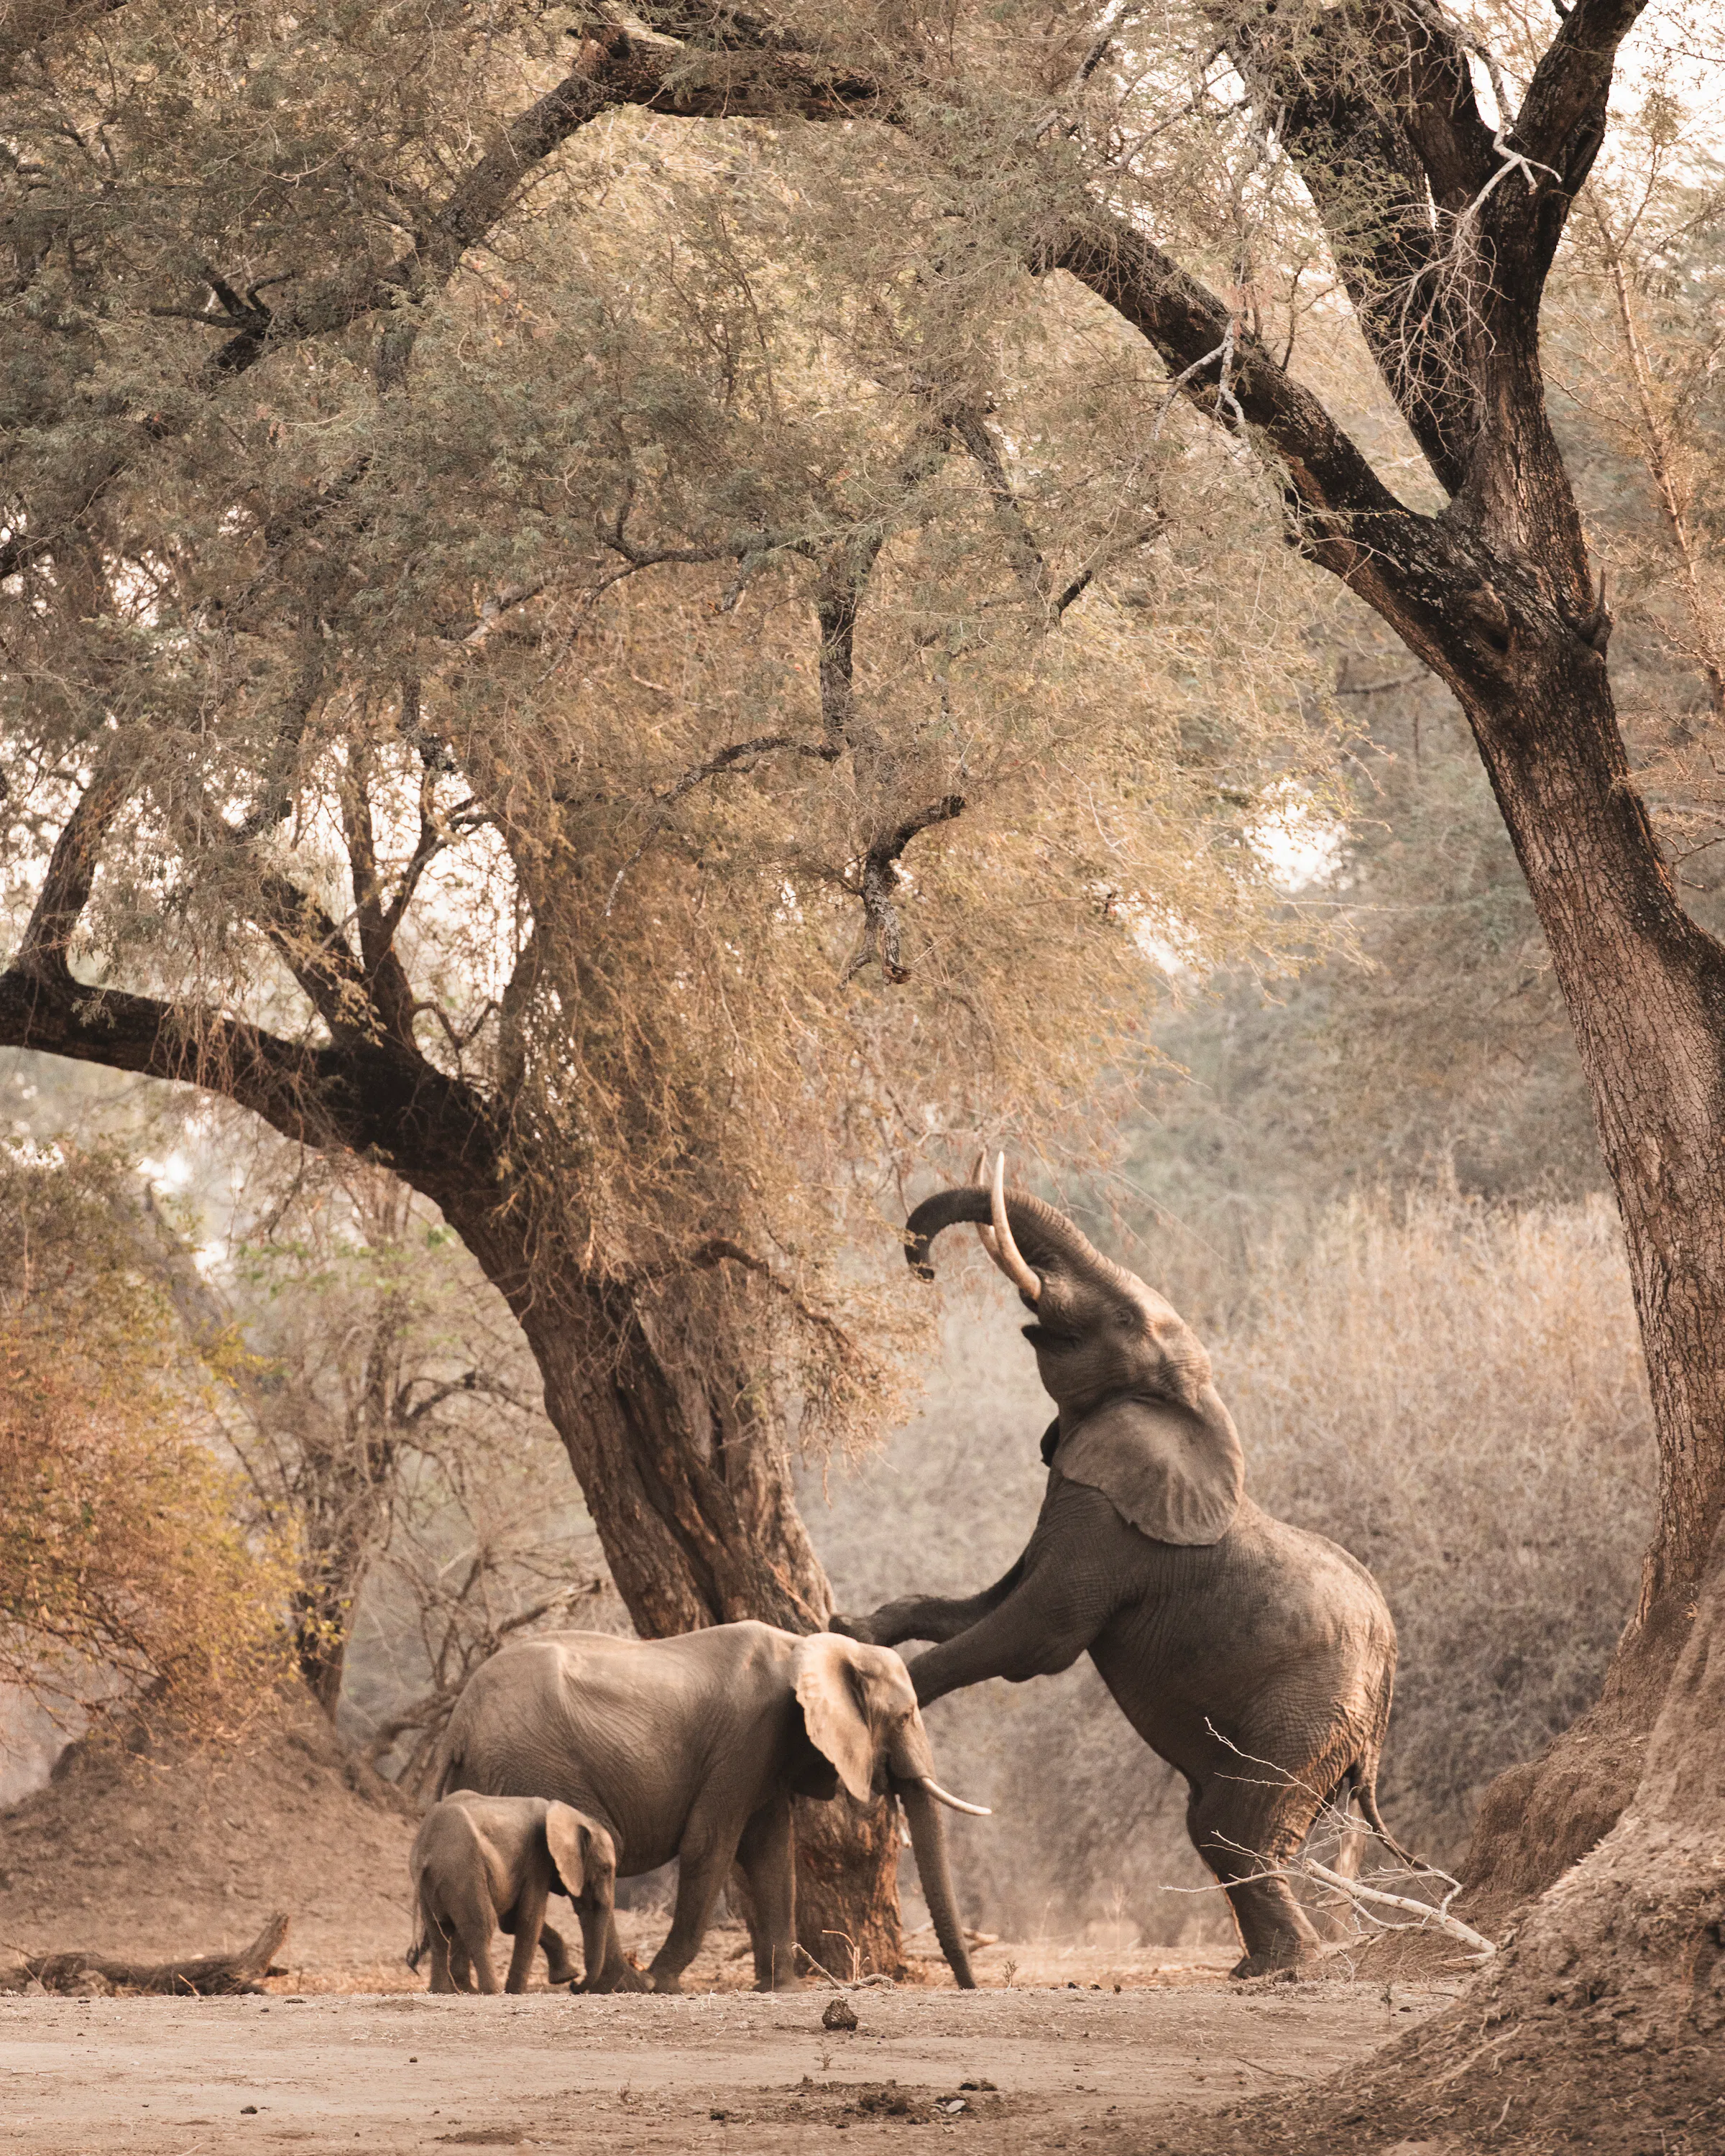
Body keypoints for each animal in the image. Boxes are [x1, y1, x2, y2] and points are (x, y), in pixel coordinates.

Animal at [408, 1791, 618, 1995]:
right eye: (606, 1870)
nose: (574, 1985)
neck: (573, 1817)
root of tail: (427, 1853)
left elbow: (511, 1922)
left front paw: (565, 1976)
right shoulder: (538, 1858)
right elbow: (529, 1919)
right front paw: (517, 1991)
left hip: (435, 1883)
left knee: (440, 1931)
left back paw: (448, 1991)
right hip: (464, 1870)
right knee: (480, 1925)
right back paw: (491, 1991)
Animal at [436, 1622, 986, 1994]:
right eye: (906, 1715)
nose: (971, 1987)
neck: (809, 1645)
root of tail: (458, 1725)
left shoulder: (768, 1753)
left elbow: (771, 1852)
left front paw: (781, 1989)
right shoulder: (745, 1739)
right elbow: (711, 1844)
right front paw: (662, 1983)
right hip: (541, 1763)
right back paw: (622, 1985)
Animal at [835, 1158, 1407, 1977]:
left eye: (1127, 1323)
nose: (925, 1267)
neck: (1190, 1404)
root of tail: (1389, 1684)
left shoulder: (1115, 1533)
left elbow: (1034, 1637)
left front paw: (892, 1691)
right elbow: (984, 1605)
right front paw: (851, 1625)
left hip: (1310, 1709)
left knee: (1234, 1822)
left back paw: (1289, 1969)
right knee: (1220, 1824)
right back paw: (1262, 1968)